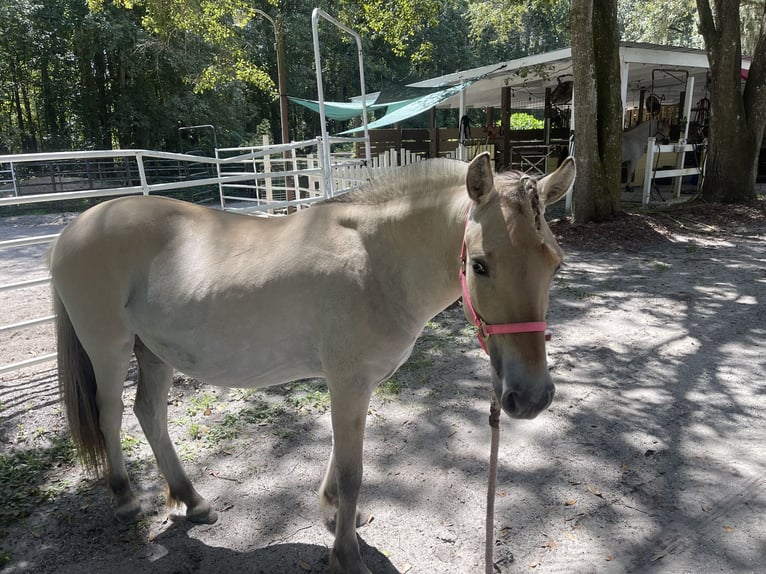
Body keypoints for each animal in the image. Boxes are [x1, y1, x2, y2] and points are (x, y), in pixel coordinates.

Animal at [49, 152, 575, 574]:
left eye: (556, 262)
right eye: (480, 264)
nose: (532, 397)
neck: (377, 262)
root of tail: (76, 226)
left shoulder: (356, 384)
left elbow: (340, 459)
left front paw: (334, 512)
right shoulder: (348, 382)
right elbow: (351, 469)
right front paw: (347, 556)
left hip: (155, 351)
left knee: (151, 415)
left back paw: (193, 501)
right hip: (110, 348)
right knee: (112, 414)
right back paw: (124, 499)